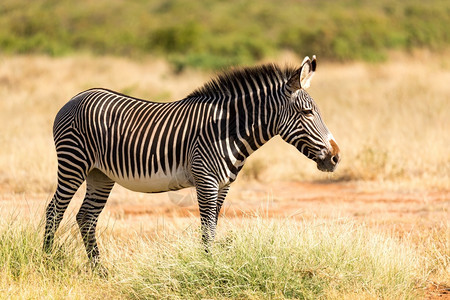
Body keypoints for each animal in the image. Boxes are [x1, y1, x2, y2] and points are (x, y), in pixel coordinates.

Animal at [44, 55, 340, 266]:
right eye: (307, 112)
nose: (336, 157)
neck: (227, 129)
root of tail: (76, 96)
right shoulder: (206, 180)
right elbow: (207, 229)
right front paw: (208, 269)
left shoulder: (224, 185)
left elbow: (214, 226)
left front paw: (210, 266)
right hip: (73, 163)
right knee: (54, 210)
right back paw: (47, 261)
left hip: (100, 174)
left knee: (86, 217)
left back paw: (101, 271)